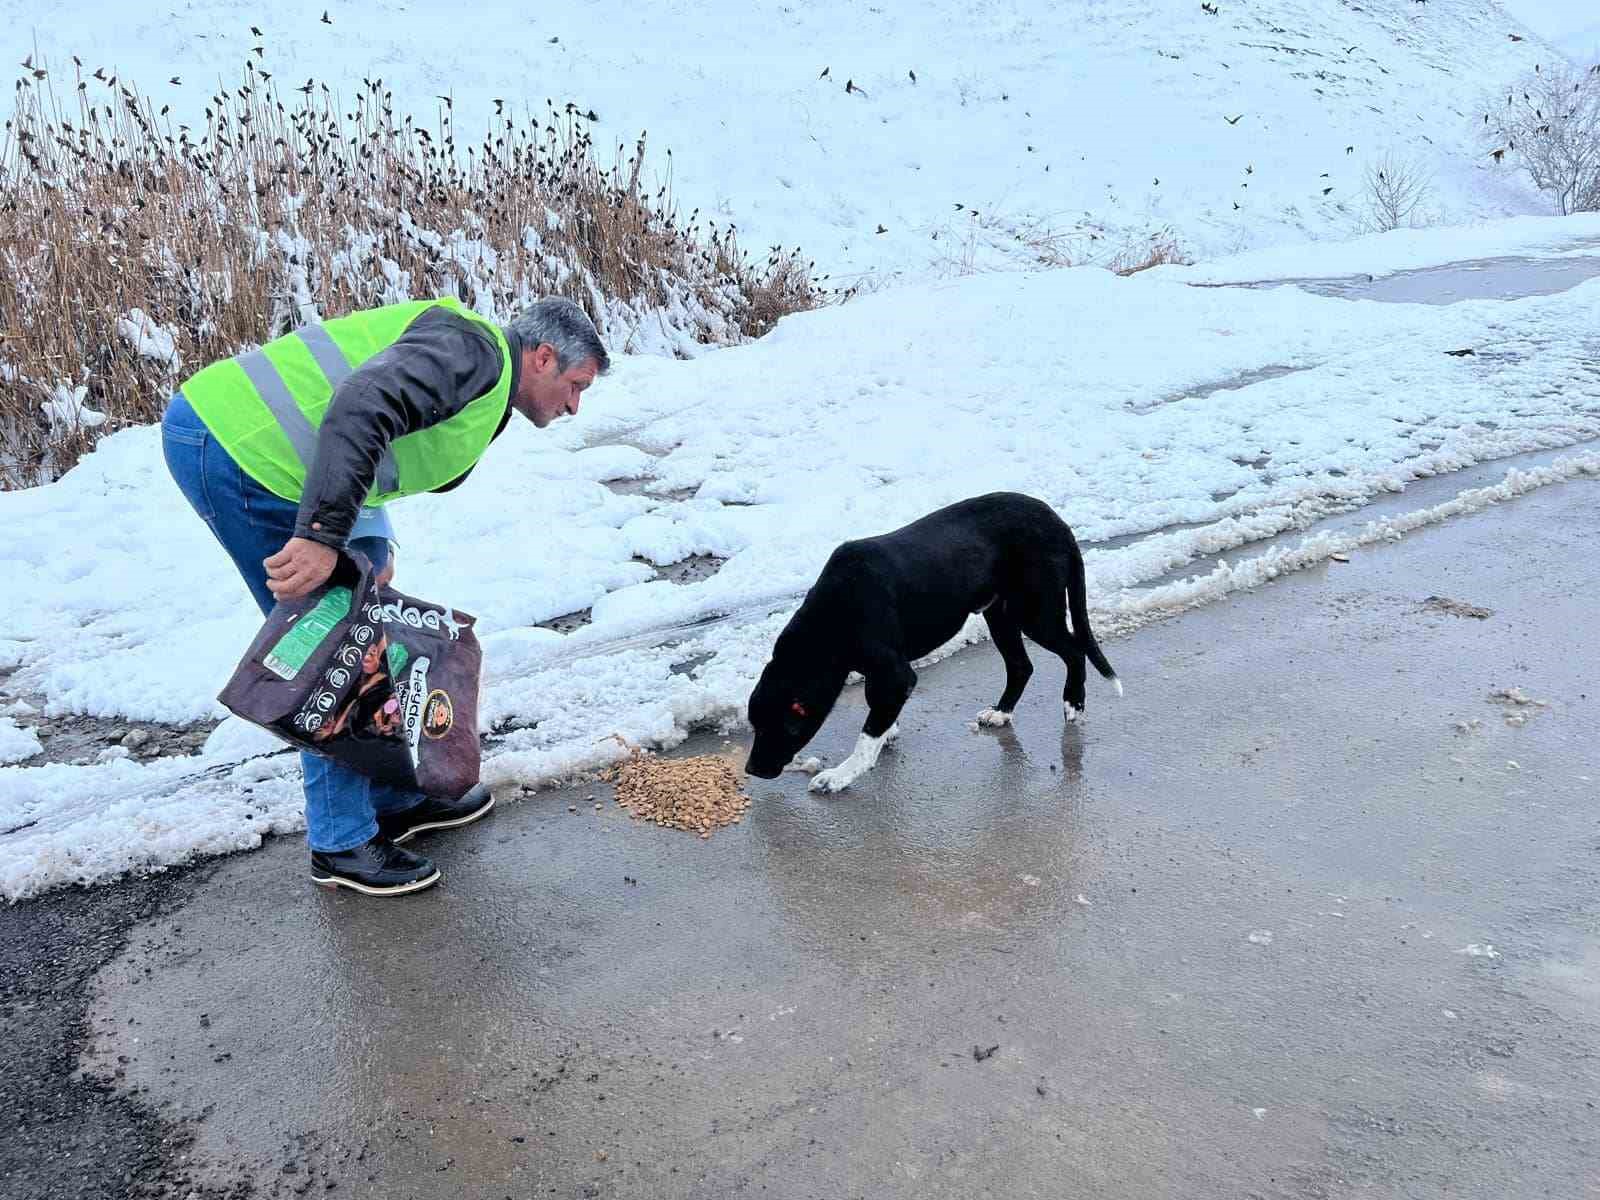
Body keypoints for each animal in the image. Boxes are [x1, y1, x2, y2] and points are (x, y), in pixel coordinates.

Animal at [742, 492, 1120, 793]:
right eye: (754, 726)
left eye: (780, 728)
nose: (752, 770)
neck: (831, 620)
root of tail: (1058, 522)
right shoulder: (884, 673)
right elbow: (877, 713)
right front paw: (887, 730)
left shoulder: (896, 674)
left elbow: (866, 737)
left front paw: (840, 776)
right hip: (1000, 613)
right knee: (1021, 666)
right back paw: (1001, 713)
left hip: (1035, 611)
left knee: (1074, 652)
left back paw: (1074, 704)